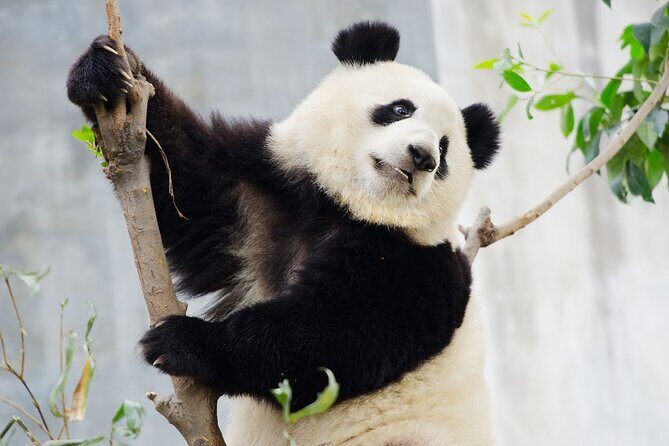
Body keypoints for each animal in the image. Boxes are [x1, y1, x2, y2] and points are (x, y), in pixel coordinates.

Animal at [67, 21, 500, 446]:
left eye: (445, 149)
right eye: (399, 109)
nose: (424, 157)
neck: (348, 208)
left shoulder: (414, 266)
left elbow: (330, 343)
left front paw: (184, 342)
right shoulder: (262, 198)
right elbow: (186, 181)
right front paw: (107, 69)